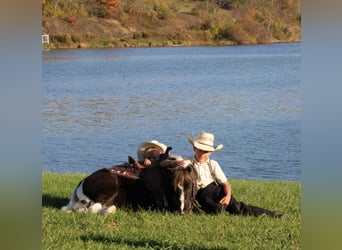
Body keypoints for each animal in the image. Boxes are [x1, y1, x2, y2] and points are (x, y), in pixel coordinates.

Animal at [62, 146, 199, 215]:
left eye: (190, 184)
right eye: (173, 186)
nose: (183, 210)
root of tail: (82, 184)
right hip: (109, 188)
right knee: (91, 209)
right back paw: (110, 210)